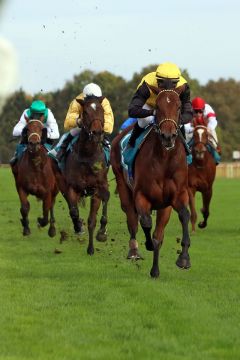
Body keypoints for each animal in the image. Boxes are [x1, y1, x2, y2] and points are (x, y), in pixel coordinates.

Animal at [52, 94, 109, 255]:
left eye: (102, 111)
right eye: (86, 112)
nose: (97, 133)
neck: (87, 155)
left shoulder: (97, 189)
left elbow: (92, 220)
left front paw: (91, 248)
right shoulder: (72, 187)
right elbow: (74, 212)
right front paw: (79, 227)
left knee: (106, 198)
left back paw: (102, 231)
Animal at [111, 87, 191, 278]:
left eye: (178, 106)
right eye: (158, 107)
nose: (168, 136)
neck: (164, 160)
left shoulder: (176, 196)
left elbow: (184, 216)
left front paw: (184, 258)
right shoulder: (141, 195)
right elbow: (146, 222)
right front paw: (148, 245)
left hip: (163, 207)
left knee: (158, 232)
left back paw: (155, 270)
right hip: (123, 187)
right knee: (132, 219)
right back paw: (134, 250)